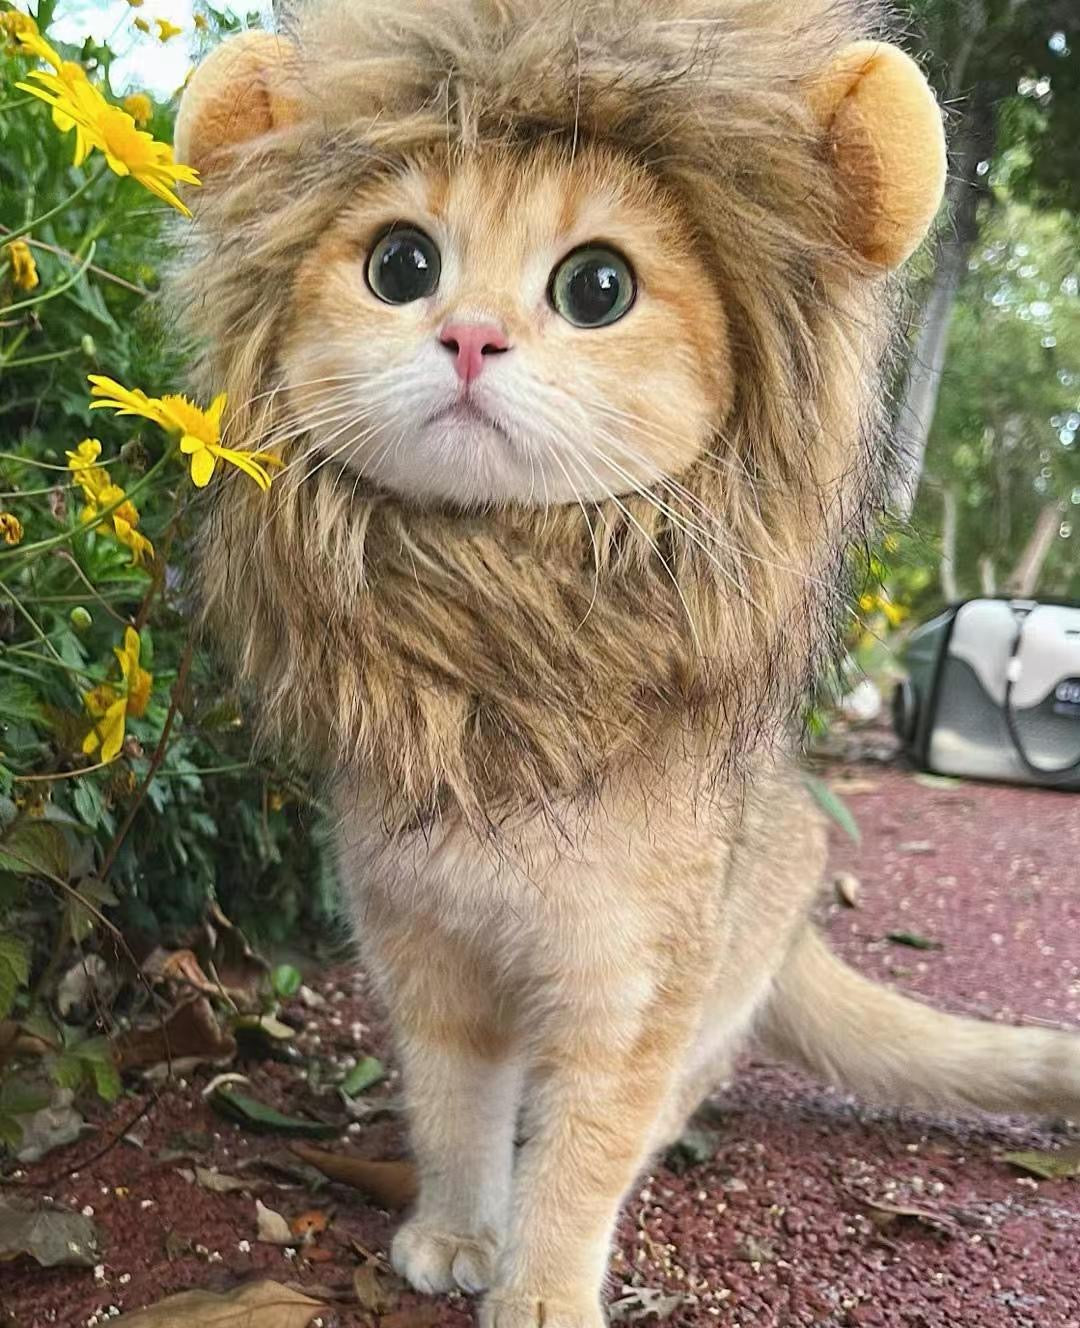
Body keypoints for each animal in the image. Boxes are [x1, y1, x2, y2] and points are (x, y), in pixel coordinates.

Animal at [172, 2, 1073, 1328]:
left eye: (597, 286)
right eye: (401, 266)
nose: (470, 335)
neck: (504, 694)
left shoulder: (630, 994)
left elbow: (584, 1151)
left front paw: (542, 1283)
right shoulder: (426, 956)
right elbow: (453, 1114)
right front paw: (459, 1226)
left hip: (713, 992)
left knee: (663, 1106)